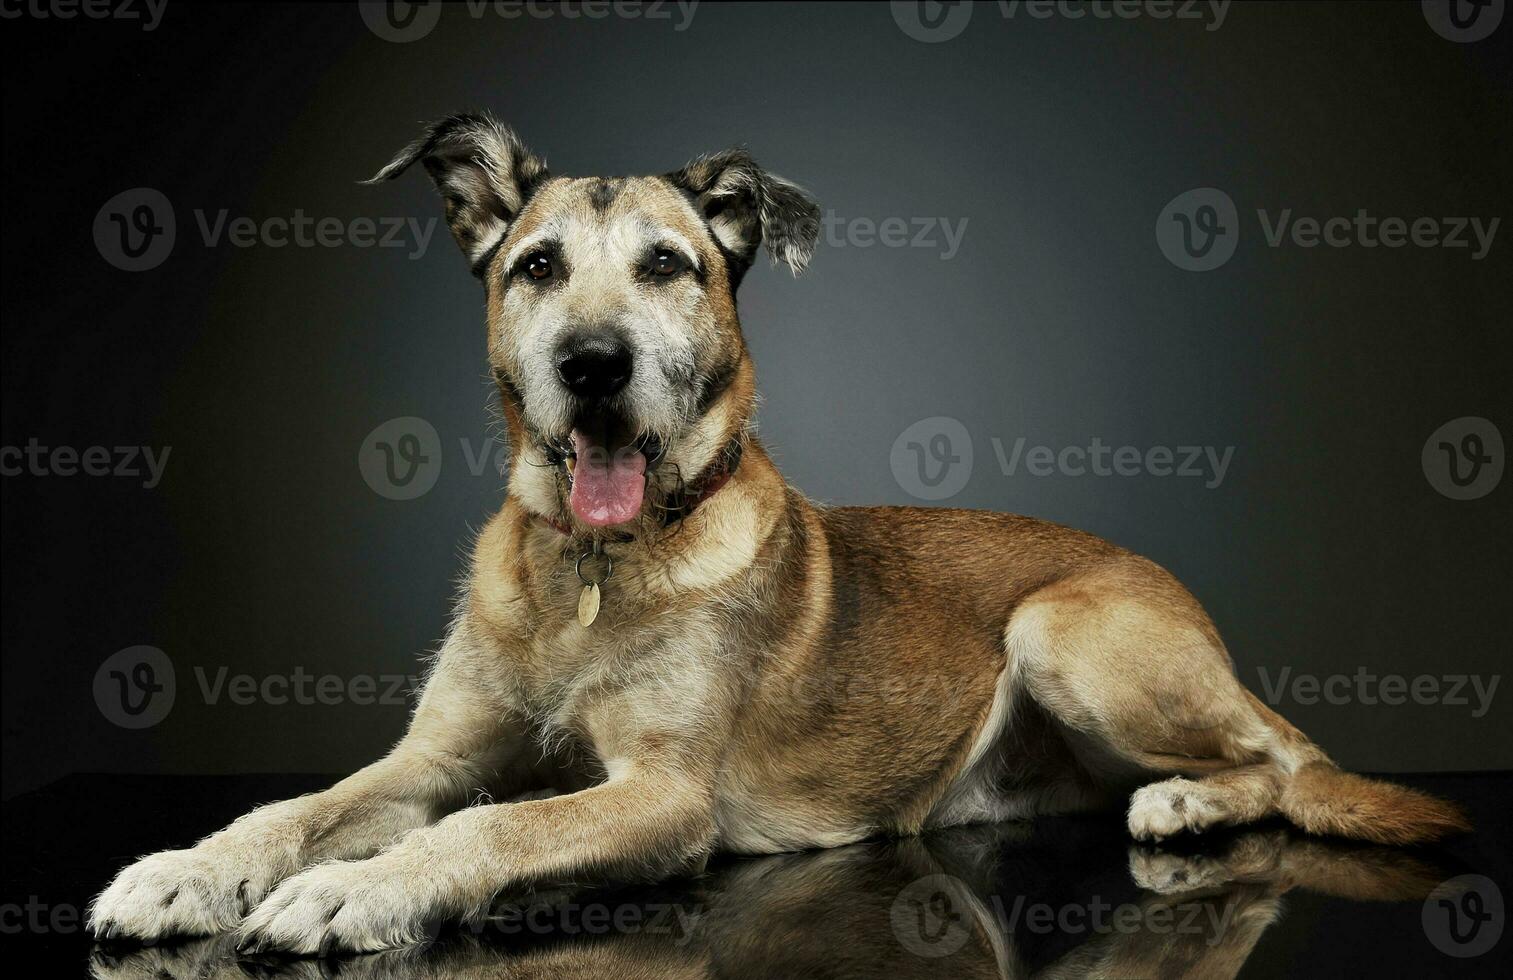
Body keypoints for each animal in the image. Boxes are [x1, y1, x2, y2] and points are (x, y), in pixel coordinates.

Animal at [85, 112, 1464, 949]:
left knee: (1285, 759)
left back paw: (1183, 803)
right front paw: (190, 865)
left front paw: (353, 891)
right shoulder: (431, 755)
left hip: (1063, 632)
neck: (594, 568)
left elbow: (490, 825)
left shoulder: (661, 797)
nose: (594, 367)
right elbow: (305, 802)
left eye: (667, 265)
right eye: (535, 266)